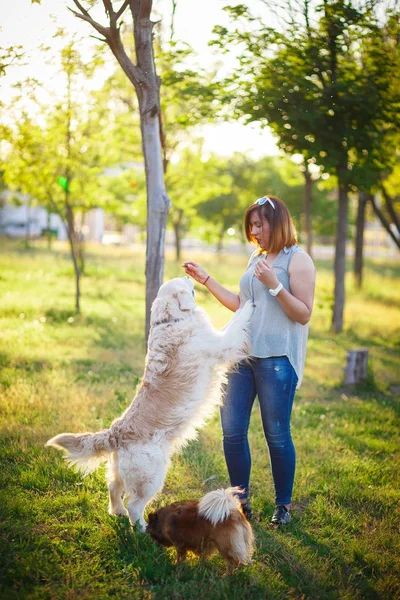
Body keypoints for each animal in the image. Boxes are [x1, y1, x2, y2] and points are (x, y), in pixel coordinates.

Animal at [46, 276, 253, 528]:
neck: (170, 320)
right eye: (182, 282)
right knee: (135, 505)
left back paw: (117, 512)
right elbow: (236, 323)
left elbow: (231, 324)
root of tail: (115, 433)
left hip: (119, 471)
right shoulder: (220, 345)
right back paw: (143, 530)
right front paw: (249, 303)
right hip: (152, 476)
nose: (188, 274)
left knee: (113, 488)